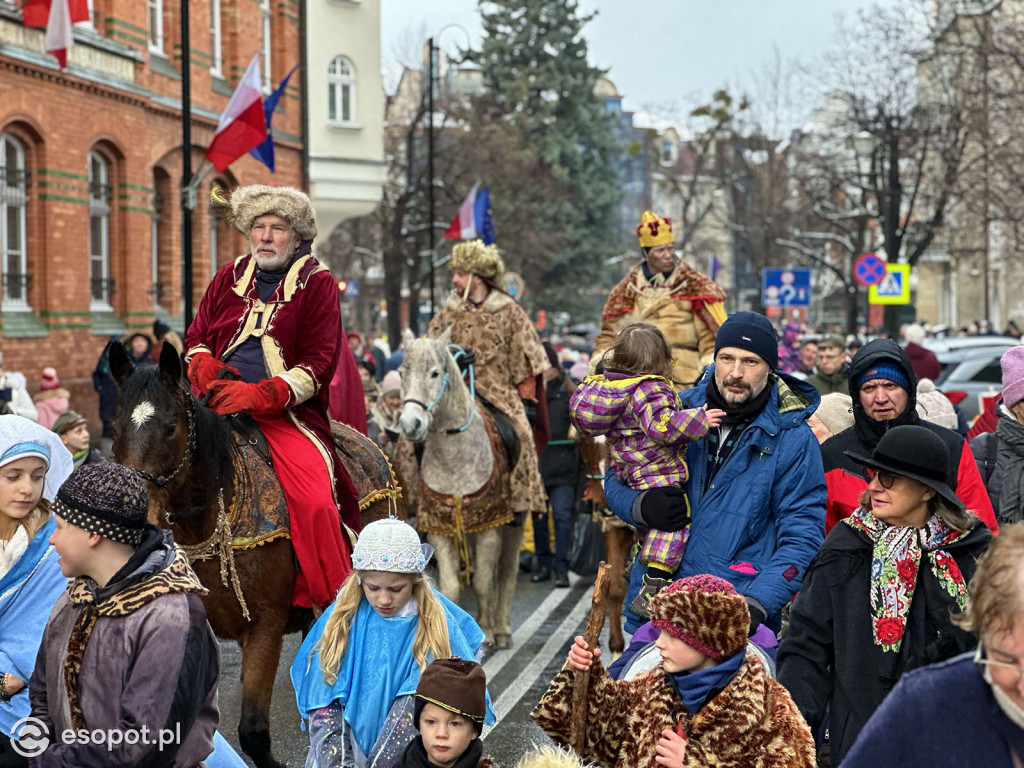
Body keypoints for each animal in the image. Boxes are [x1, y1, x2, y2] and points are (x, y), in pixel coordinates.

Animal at [395, 331, 516, 651]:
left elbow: (484, 582)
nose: (411, 424)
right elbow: (451, 587)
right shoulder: (441, 526)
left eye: (435, 373)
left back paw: (502, 628)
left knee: (506, 572)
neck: (456, 459)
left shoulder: (491, 523)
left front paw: (487, 632)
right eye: (402, 373)